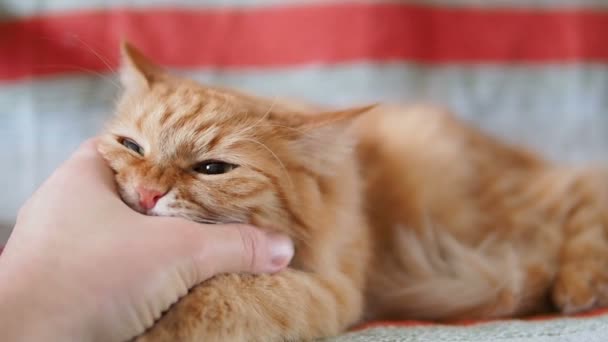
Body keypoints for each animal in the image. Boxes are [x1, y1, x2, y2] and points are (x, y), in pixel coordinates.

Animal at [98, 43, 608, 342]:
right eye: (132, 146)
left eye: (212, 168)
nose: (146, 193)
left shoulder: (326, 287)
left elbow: (220, 296)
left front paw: (160, 330)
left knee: (584, 187)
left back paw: (579, 284)